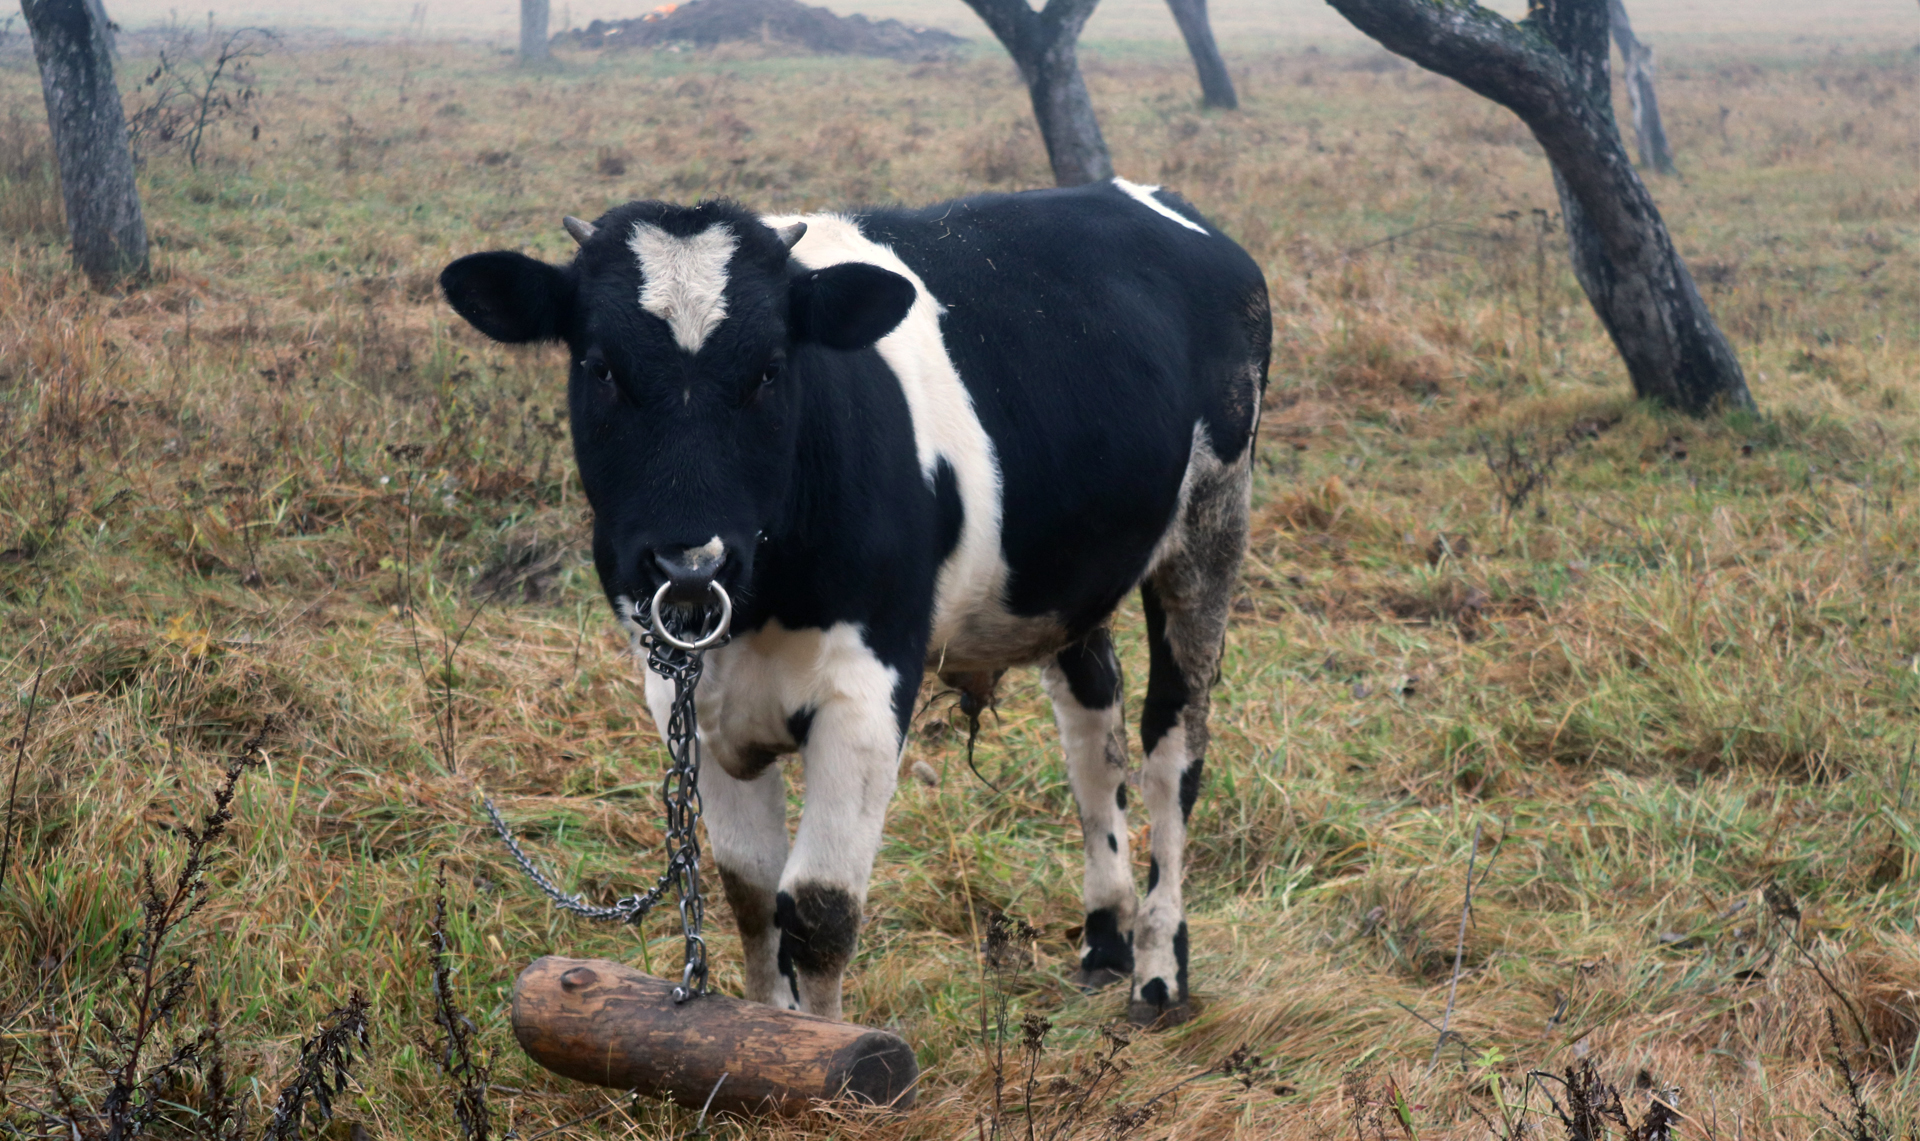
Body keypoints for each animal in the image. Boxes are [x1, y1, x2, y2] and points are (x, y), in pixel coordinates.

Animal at [439, 177, 1267, 1021]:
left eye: (771, 368)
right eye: (601, 367)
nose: (688, 558)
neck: (762, 601)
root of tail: (1143, 195)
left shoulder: (868, 689)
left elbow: (820, 907)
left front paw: (824, 1047)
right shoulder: (685, 695)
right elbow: (752, 895)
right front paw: (763, 1032)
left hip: (1211, 528)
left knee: (1173, 749)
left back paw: (1158, 969)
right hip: (1068, 574)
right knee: (1092, 730)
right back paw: (1105, 937)